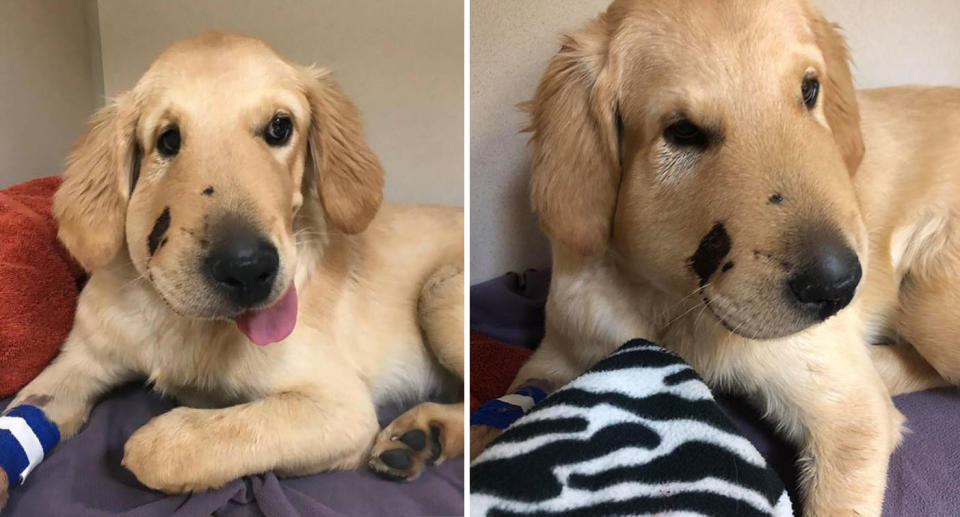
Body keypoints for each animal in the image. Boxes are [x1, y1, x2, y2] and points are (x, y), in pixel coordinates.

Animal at [472, 0, 960, 512]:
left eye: (809, 90)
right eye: (683, 131)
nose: (841, 286)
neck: (672, 305)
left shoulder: (850, 417)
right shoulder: (556, 355)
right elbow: (501, 414)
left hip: (932, 308)